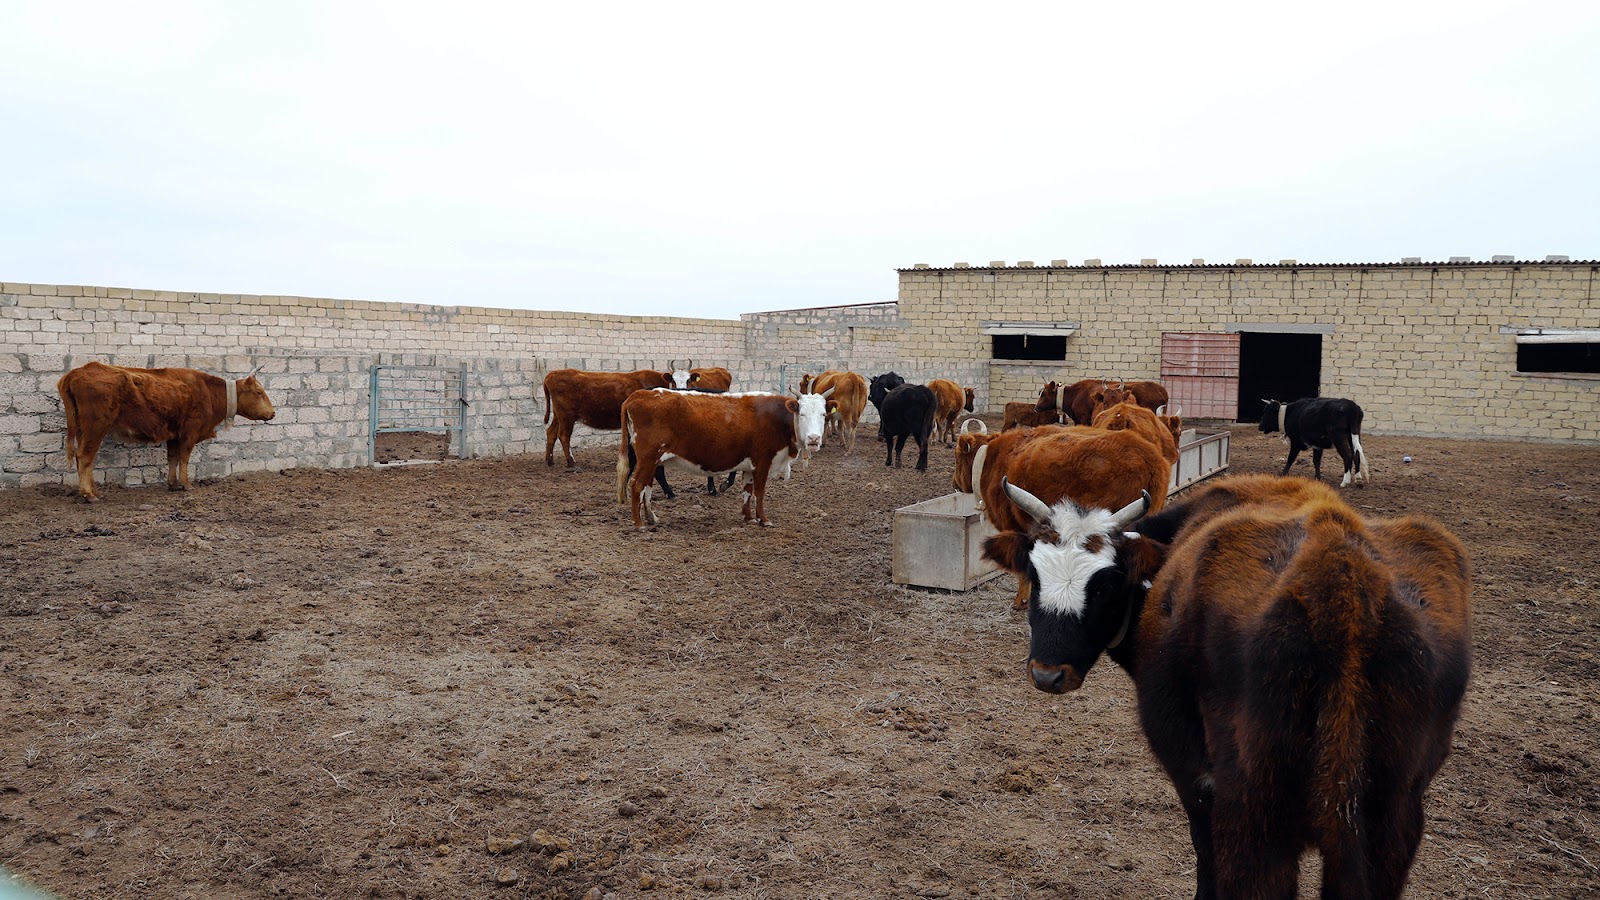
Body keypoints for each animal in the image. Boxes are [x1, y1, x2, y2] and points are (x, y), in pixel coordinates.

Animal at [56, 361, 277, 501]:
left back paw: (95, 491)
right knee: (85, 456)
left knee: (83, 458)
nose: (273, 413)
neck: (208, 392)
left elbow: (172, 458)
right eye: (259, 392)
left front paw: (172, 484)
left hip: (83, 429)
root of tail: (76, 373)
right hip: (95, 427)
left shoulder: (174, 435)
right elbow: (184, 458)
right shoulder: (190, 432)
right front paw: (186, 484)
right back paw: (88, 494)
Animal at [616, 388, 834, 528]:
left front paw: (748, 517)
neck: (778, 418)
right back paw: (639, 523)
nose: (814, 439)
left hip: (652, 461)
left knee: (647, 487)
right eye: (802, 413)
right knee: (637, 484)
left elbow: (747, 490)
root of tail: (639, 394)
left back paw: (651, 518)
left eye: (823, 414)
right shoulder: (763, 462)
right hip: (647, 458)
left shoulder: (749, 466)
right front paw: (763, 519)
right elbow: (759, 492)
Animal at [983, 474, 1471, 899]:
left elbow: (1205, 855)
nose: (1048, 674)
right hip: (1390, 816)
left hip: (1255, 811)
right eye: (1035, 574)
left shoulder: (1196, 776)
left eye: (1103, 586)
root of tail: (1342, 577)